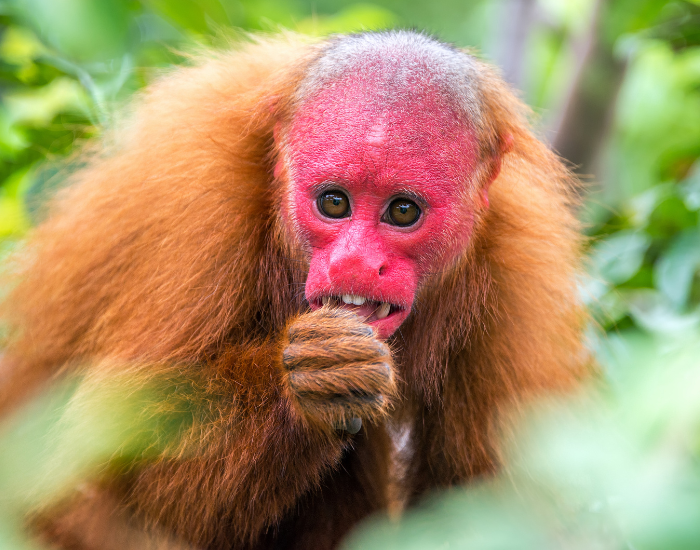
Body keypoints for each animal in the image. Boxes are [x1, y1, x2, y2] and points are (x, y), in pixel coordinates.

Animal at [0, 31, 586, 550]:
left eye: (403, 211)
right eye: (333, 202)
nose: (354, 262)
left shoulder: (516, 270)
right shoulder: (194, 214)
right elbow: (92, 481)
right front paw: (310, 382)